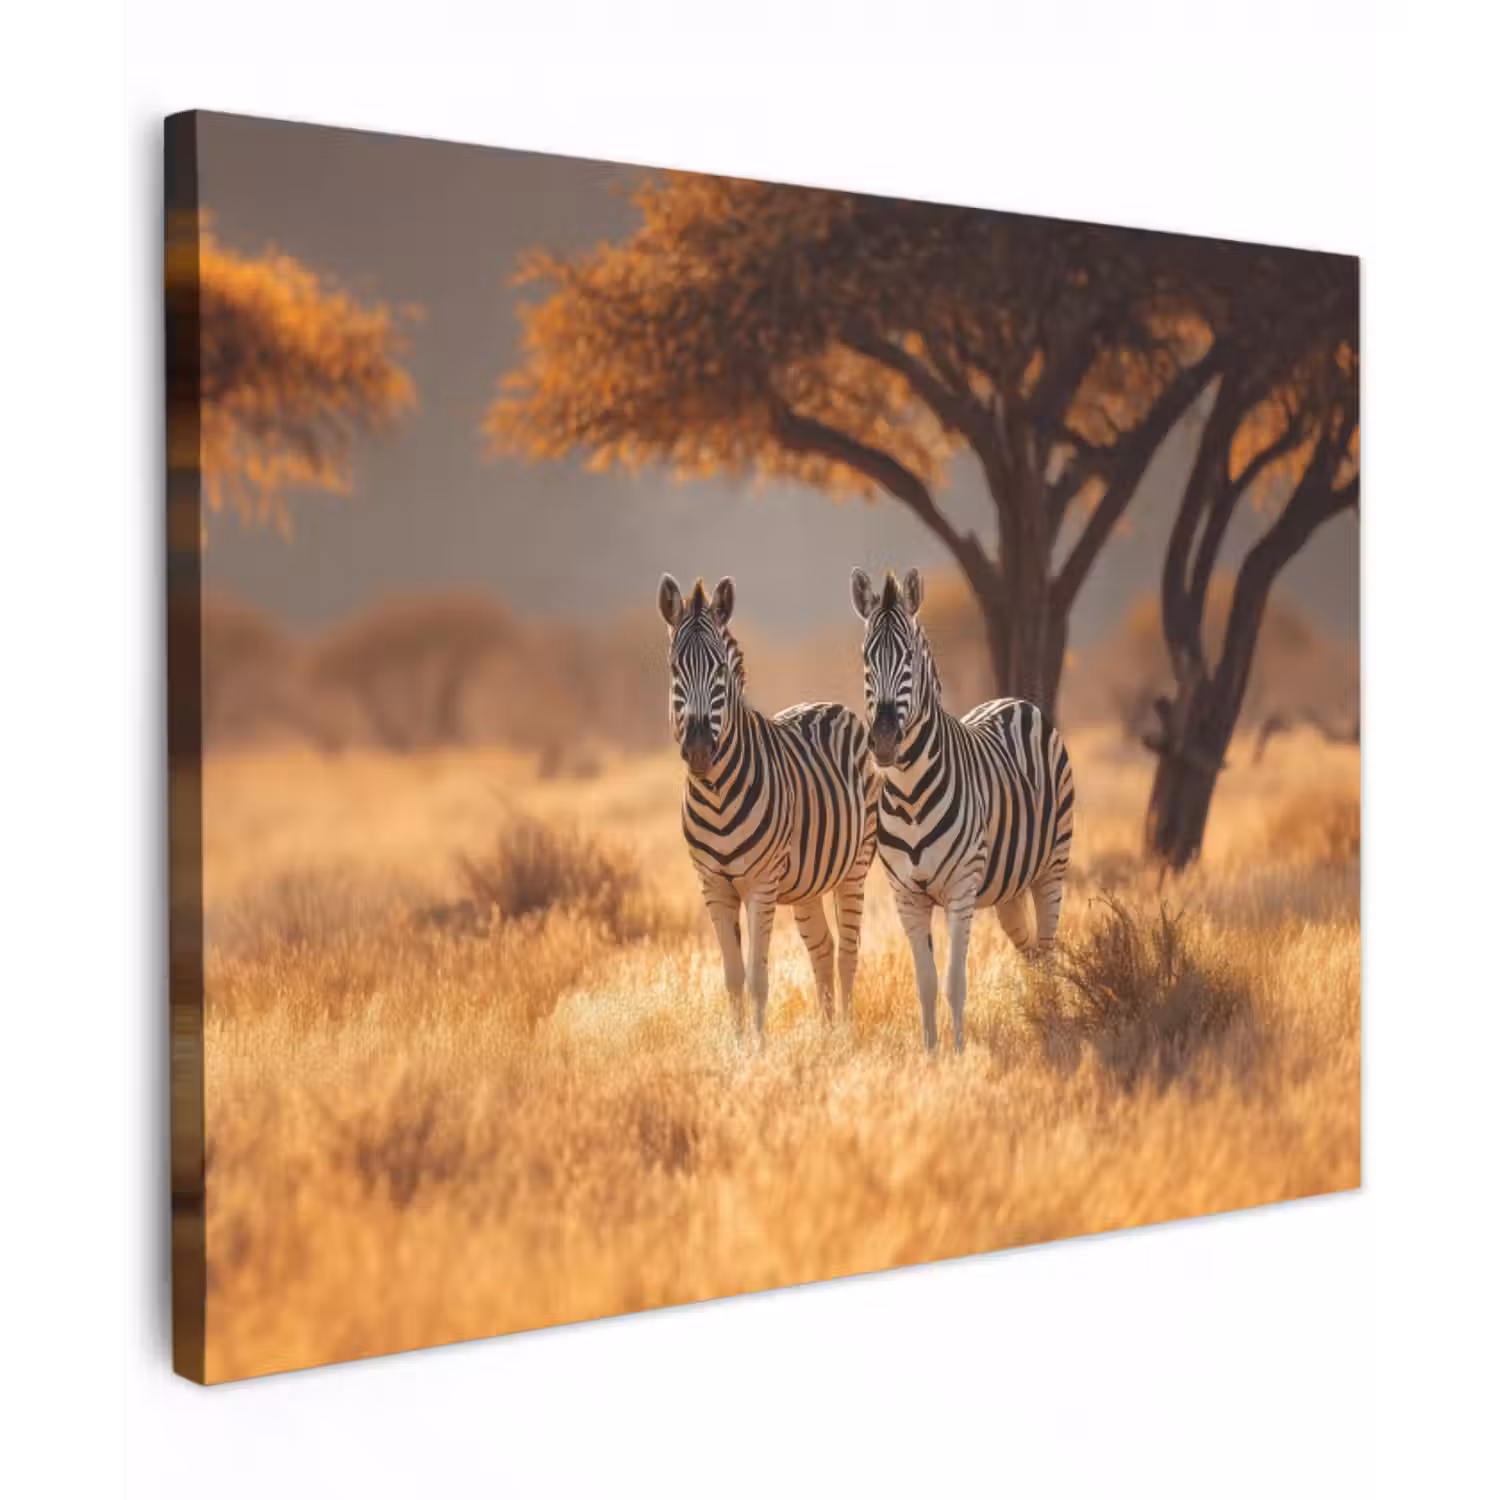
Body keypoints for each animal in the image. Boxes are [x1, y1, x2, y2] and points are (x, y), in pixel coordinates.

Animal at [659, 574, 879, 1037]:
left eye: (720, 671)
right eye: (674, 669)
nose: (700, 749)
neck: (716, 795)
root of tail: (830, 704)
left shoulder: (760, 883)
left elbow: (758, 978)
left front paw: (758, 1049)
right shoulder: (713, 885)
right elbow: (732, 977)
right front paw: (738, 1045)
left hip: (854, 866)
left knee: (847, 953)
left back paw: (845, 1035)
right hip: (806, 883)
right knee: (823, 948)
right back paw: (826, 1035)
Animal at [851, 567, 1075, 1053]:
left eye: (910, 659)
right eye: (866, 658)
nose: (884, 741)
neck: (911, 795)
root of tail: (1015, 701)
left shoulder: (960, 889)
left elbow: (954, 982)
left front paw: (957, 1054)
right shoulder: (907, 896)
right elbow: (926, 983)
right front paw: (931, 1054)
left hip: (1052, 867)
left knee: (1048, 950)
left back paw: (1052, 1023)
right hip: (1009, 888)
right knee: (1031, 952)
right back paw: (1038, 1016)